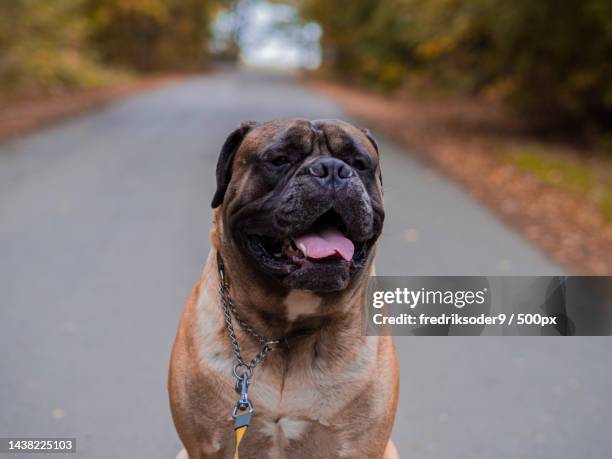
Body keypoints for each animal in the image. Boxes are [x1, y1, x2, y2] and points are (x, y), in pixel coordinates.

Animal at [167, 119, 400, 459]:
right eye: (279, 159)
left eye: (359, 163)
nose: (332, 169)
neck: (283, 335)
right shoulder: (204, 446)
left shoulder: (361, 447)